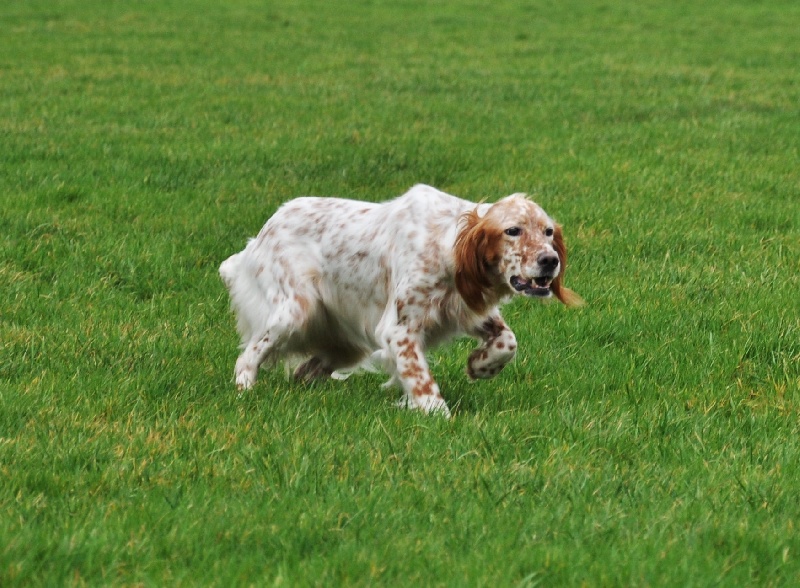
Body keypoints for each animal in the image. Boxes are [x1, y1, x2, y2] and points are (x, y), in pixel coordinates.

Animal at [219, 184, 580, 418]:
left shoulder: (466, 308)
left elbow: (508, 340)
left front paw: (481, 365)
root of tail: (259, 236)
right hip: (295, 311)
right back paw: (245, 390)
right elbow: (420, 380)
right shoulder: (400, 329)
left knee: (304, 370)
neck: (446, 242)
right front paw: (438, 415)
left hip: (347, 344)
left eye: (548, 232)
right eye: (512, 230)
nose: (550, 261)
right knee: (248, 355)